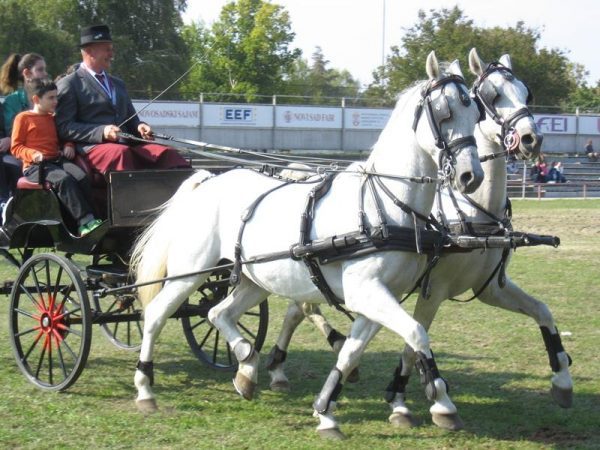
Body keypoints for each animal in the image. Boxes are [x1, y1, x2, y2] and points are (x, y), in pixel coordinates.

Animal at [130, 52, 482, 440]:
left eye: (477, 113)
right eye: (445, 111)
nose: (471, 177)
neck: (386, 204)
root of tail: (209, 181)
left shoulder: (377, 298)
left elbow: (352, 353)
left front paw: (326, 411)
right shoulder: (367, 292)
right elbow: (418, 333)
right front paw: (443, 403)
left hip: (254, 280)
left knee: (217, 313)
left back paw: (246, 368)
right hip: (190, 272)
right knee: (157, 314)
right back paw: (145, 388)